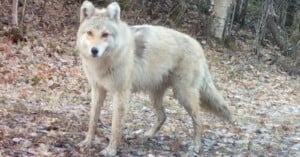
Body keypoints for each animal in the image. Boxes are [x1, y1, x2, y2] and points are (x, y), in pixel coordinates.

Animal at [76, 0, 231, 156]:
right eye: (89, 33)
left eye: (105, 34)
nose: (94, 51)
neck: (102, 63)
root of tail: (198, 45)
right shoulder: (97, 89)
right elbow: (93, 119)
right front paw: (87, 142)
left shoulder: (121, 94)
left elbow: (115, 126)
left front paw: (111, 150)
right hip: (155, 95)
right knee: (163, 116)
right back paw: (147, 135)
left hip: (183, 95)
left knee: (199, 121)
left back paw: (196, 146)